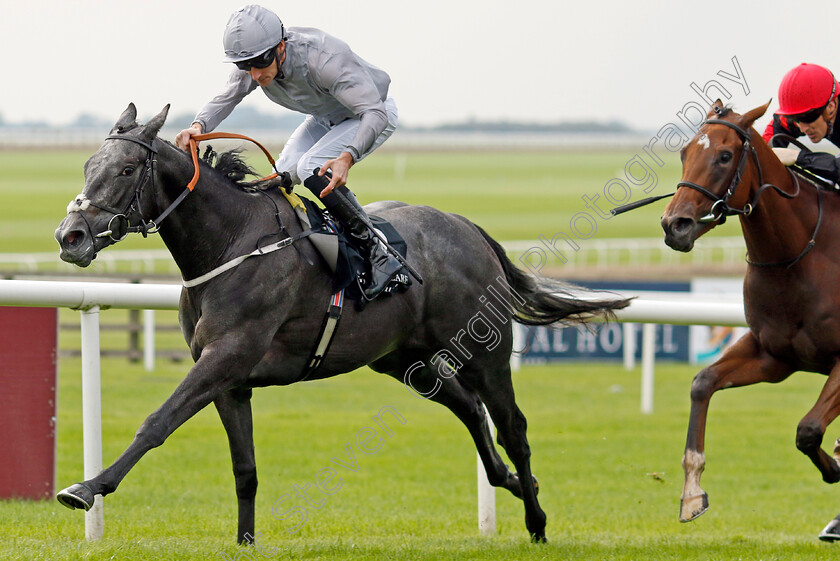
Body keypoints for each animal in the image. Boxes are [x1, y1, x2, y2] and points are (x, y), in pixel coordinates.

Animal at [54, 103, 632, 540]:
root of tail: (466, 227)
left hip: (484, 353)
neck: (231, 243)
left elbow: (158, 421)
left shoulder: (227, 357)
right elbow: (245, 470)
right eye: (86, 166)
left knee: (512, 427)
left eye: (127, 170)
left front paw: (84, 488)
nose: (70, 236)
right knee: (470, 410)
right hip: (404, 360)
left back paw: (535, 517)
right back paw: (511, 482)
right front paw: (244, 542)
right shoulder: (229, 380)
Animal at [660, 99, 840, 520]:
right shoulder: (772, 355)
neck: (797, 257)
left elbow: (808, 430)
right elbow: (702, 382)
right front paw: (691, 492)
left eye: (725, 156)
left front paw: (836, 466)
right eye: (684, 153)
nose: (674, 225)